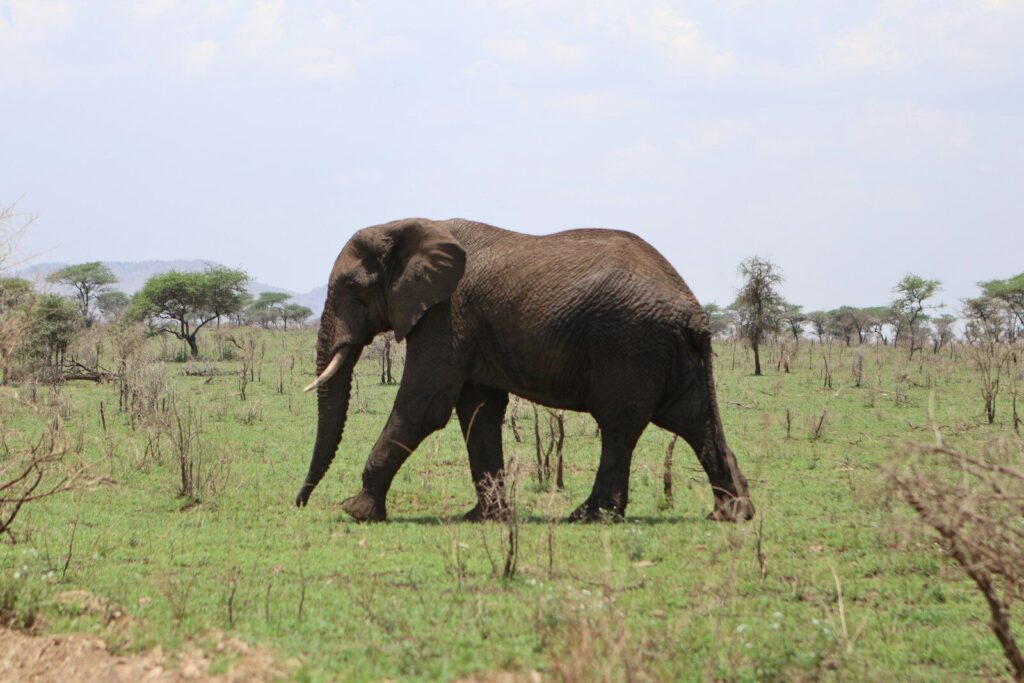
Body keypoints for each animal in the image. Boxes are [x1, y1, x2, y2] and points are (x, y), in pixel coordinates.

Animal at [295, 218, 754, 523]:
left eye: (351, 289)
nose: (299, 503)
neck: (408, 226)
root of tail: (693, 310)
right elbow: (479, 411)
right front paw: (485, 517)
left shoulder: (446, 315)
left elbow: (424, 406)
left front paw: (356, 511)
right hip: (670, 353)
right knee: (694, 421)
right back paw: (732, 515)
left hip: (630, 344)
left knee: (620, 425)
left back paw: (588, 516)